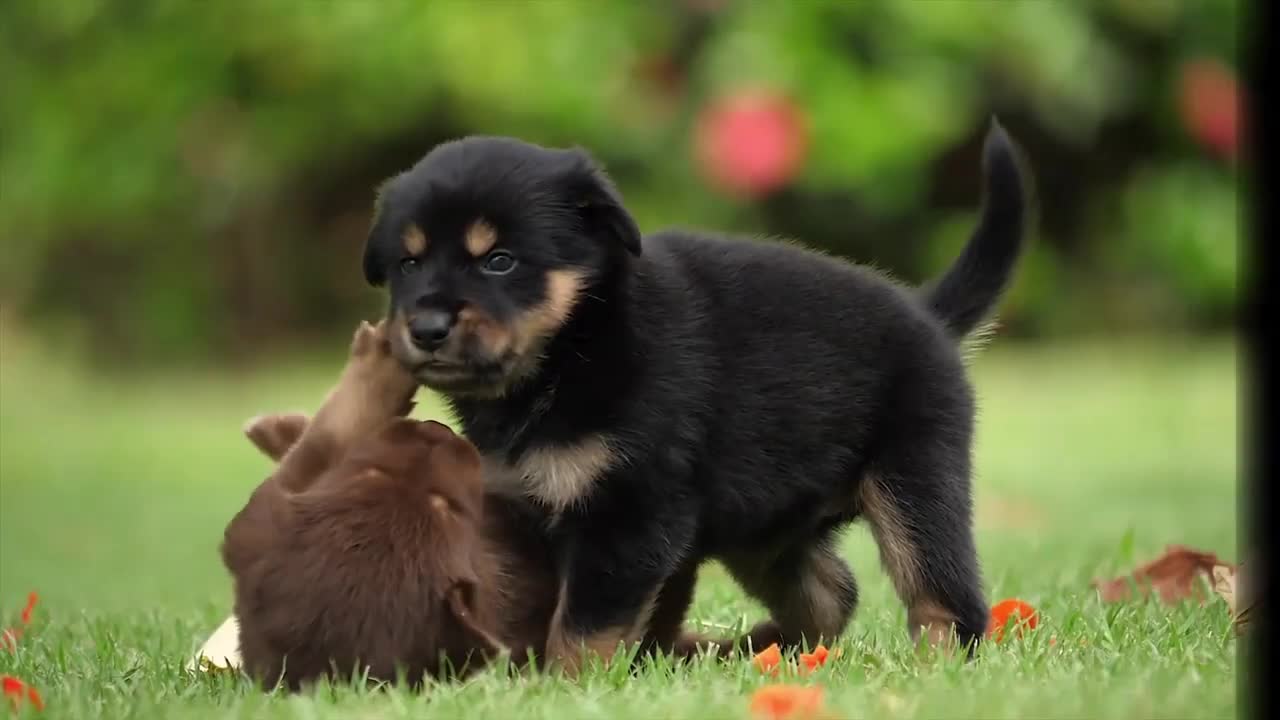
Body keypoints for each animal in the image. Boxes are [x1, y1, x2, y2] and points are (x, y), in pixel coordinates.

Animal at [358, 121, 1029, 666]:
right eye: (408, 265)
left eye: (498, 260)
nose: (426, 328)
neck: (575, 346)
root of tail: (927, 314)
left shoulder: (630, 511)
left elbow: (584, 627)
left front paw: (566, 686)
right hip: (763, 529)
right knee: (833, 590)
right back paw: (767, 648)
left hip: (914, 482)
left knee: (945, 598)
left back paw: (935, 667)